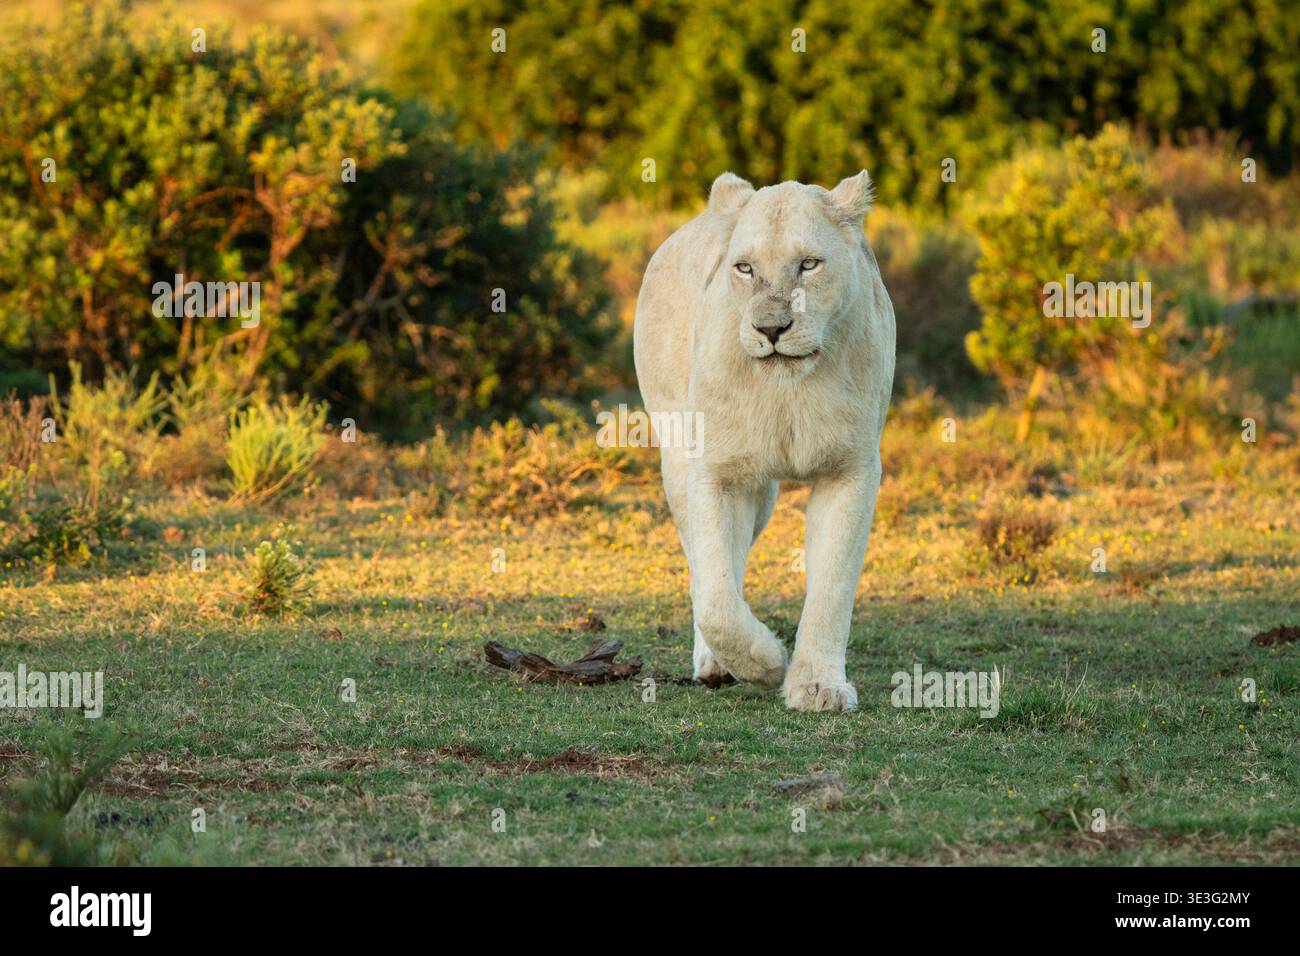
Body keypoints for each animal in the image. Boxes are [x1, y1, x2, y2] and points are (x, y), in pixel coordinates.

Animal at [633, 171, 895, 712]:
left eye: (809, 264)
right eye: (745, 268)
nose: (770, 328)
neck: (786, 391)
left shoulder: (851, 469)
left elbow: (833, 586)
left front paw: (817, 687)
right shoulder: (716, 470)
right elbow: (715, 596)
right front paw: (767, 662)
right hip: (678, 456)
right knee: (705, 566)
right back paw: (716, 664)